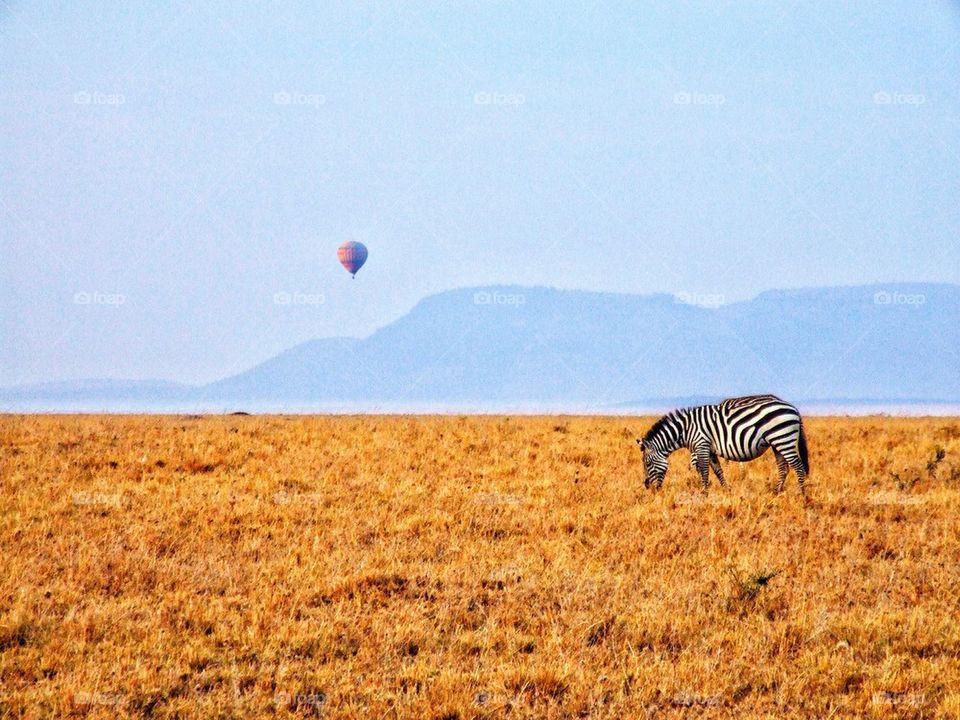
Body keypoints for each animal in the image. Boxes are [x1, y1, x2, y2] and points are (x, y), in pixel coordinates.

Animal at [636, 394, 808, 496]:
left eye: (647, 463)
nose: (649, 488)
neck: (685, 430)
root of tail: (793, 408)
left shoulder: (702, 445)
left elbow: (704, 471)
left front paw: (704, 493)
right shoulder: (709, 449)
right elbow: (718, 471)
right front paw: (727, 490)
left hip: (784, 439)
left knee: (798, 467)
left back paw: (802, 495)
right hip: (777, 443)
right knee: (784, 468)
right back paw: (776, 492)